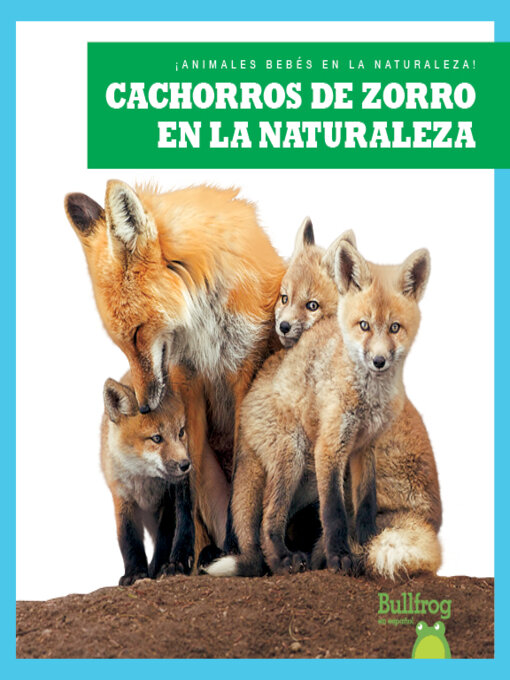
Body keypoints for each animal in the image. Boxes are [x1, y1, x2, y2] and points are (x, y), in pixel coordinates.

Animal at [65, 182, 286, 555]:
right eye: (122, 343)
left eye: (137, 333)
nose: (143, 407)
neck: (203, 324)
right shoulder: (186, 383)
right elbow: (185, 487)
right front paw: (179, 556)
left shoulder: (244, 371)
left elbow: (241, 474)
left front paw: (234, 546)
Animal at [101, 372, 195, 585]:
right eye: (157, 438)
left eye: (181, 432)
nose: (185, 465)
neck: (144, 481)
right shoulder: (122, 496)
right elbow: (128, 539)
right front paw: (135, 573)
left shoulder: (168, 499)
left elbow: (165, 538)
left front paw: (160, 567)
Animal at [206, 234, 438, 579]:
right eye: (364, 326)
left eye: (395, 328)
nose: (378, 361)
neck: (369, 398)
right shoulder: (330, 447)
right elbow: (334, 513)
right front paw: (340, 557)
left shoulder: (364, 447)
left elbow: (364, 506)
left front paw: (365, 544)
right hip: (293, 456)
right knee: (267, 520)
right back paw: (283, 561)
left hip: (305, 477)